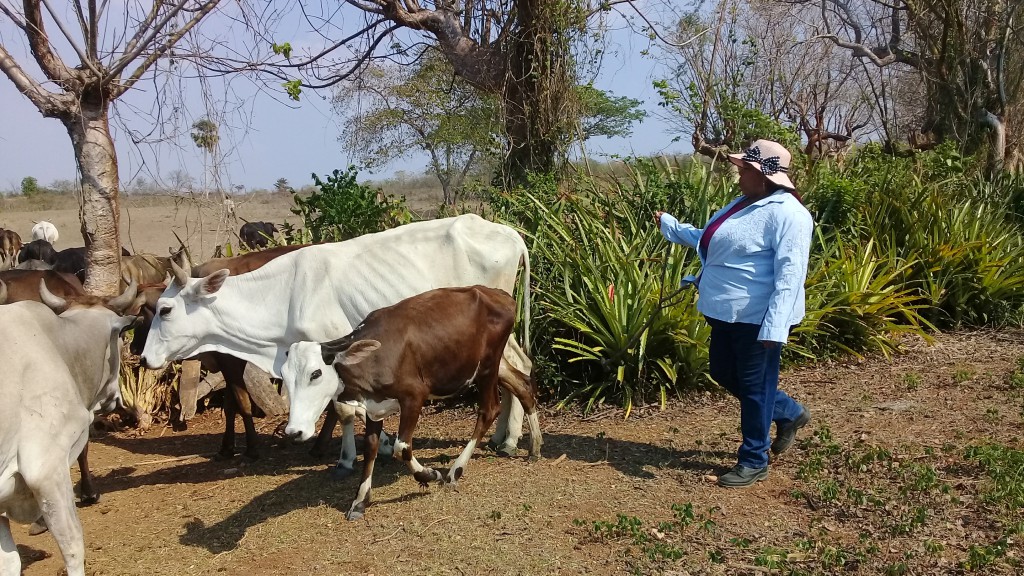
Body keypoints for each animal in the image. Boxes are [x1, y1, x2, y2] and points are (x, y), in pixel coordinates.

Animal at [0, 278, 140, 573]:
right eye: (121, 338)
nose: (115, 399)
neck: (60, 347)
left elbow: (9, 562)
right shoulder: (47, 469)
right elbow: (74, 546)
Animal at [146, 215, 536, 467]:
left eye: (164, 309)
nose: (146, 358)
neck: (284, 294)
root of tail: (510, 234)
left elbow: (341, 406)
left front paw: (347, 456)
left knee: (519, 366)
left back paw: (511, 439)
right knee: (518, 368)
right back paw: (505, 438)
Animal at [280, 284, 544, 518]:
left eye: (315, 373)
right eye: (283, 376)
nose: (293, 432)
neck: (377, 356)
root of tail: (499, 294)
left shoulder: (414, 396)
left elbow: (402, 446)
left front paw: (429, 475)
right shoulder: (374, 406)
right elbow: (371, 447)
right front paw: (360, 501)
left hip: (488, 366)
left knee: (489, 409)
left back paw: (455, 472)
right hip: (487, 365)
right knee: (523, 386)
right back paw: (535, 447)